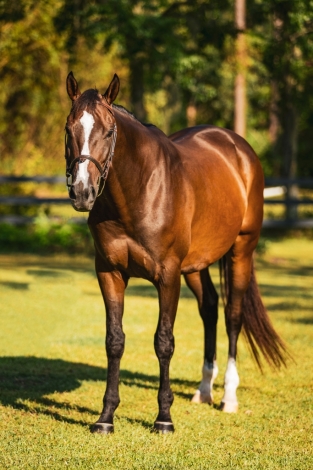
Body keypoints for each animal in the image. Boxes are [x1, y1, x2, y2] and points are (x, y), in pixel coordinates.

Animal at [63, 71, 286, 436]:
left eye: (108, 132)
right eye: (69, 129)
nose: (83, 192)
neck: (139, 191)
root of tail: (238, 147)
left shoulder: (167, 277)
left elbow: (164, 342)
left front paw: (164, 418)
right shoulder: (109, 273)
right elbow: (114, 341)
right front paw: (106, 417)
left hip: (241, 250)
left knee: (233, 315)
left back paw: (228, 397)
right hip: (195, 266)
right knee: (210, 307)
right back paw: (204, 390)